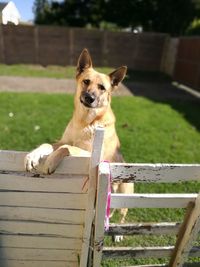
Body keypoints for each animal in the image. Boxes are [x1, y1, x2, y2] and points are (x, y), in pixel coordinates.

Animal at [25, 49, 134, 236]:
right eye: (86, 81)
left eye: (102, 88)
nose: (89, 97)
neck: (85, 122)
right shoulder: (61, 140)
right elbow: (50, 144)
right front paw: (33, 155)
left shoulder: (92, 154)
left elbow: (67, 147)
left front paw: (51, 161)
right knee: (111, 210)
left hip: (125, 194)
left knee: (122, 214)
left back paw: (119, 233)